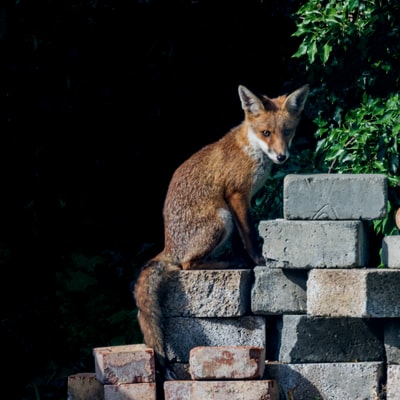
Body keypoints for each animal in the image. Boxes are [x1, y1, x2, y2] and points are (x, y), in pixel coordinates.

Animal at [134, 83, 310, 378]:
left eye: (287, 131)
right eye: (266, 133)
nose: (282, 156)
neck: (251, 149)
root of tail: (168, 246)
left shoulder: (242, 201)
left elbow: (241, 239)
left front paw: (246, 259)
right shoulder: (236, 196)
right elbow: (249, 235)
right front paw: (257, 260)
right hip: (221, 218)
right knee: (188, 265)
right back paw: (228, 263)